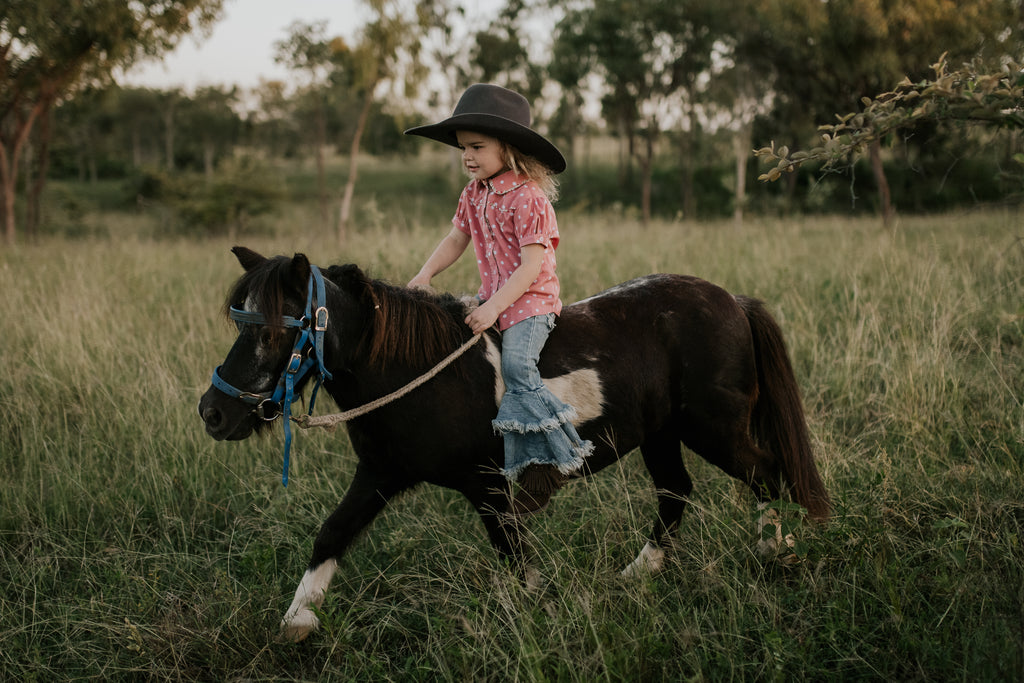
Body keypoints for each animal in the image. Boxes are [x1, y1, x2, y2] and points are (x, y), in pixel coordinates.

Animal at [195, 248, 827, 643]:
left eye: (273, 331)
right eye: (239, 324)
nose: (214, 412)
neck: (417, 371)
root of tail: (734, 301)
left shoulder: (488, 487)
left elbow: (517, 559)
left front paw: (537, 617)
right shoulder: (380, 473)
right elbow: (332, 534)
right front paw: (296, 622)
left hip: (715, 429)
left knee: (768, 474)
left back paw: (778, 552)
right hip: (662, 435)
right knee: (676, 493)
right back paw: (637, 574)